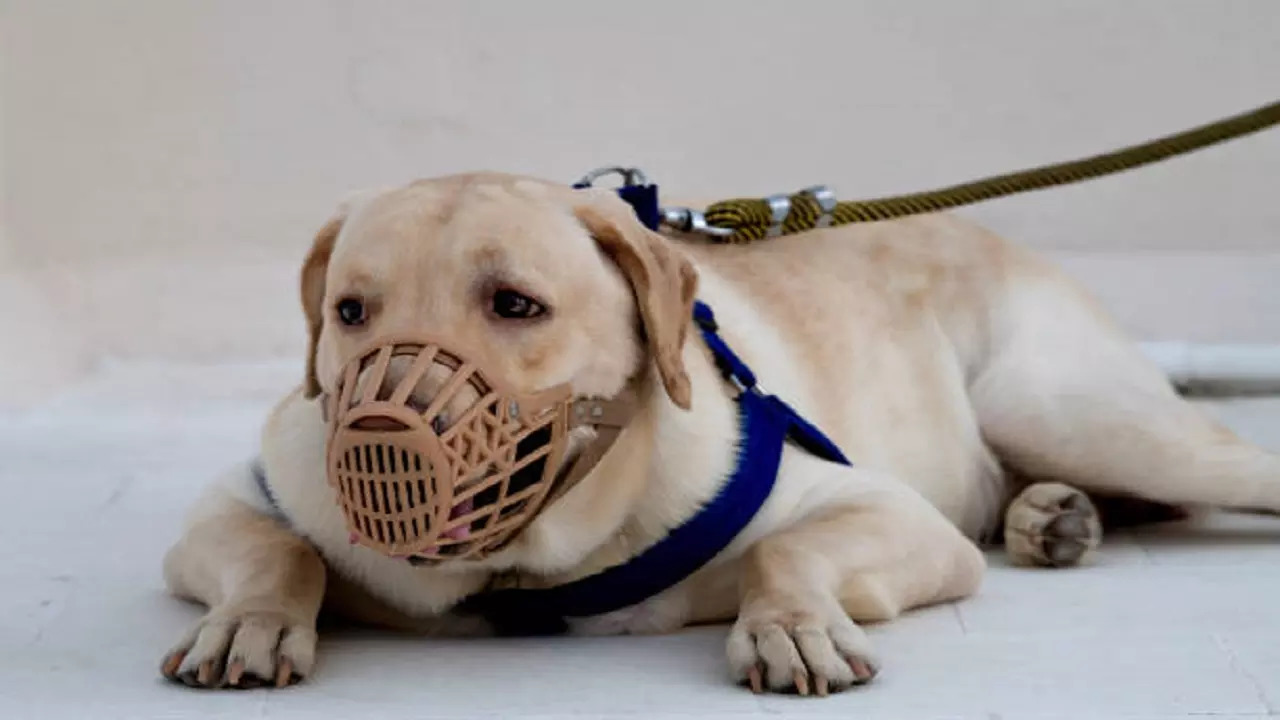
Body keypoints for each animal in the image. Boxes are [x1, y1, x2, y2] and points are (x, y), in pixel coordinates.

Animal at [157, 170, 1280, 691]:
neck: (528, 564)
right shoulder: (229, 505)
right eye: (350, 312)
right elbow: (280, 550)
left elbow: (788, 549)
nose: (382, 429)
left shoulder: (885, 509)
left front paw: (788, 624)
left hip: (1060, 409)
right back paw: (1052, 516)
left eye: (515, 305)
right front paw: (254, 620)